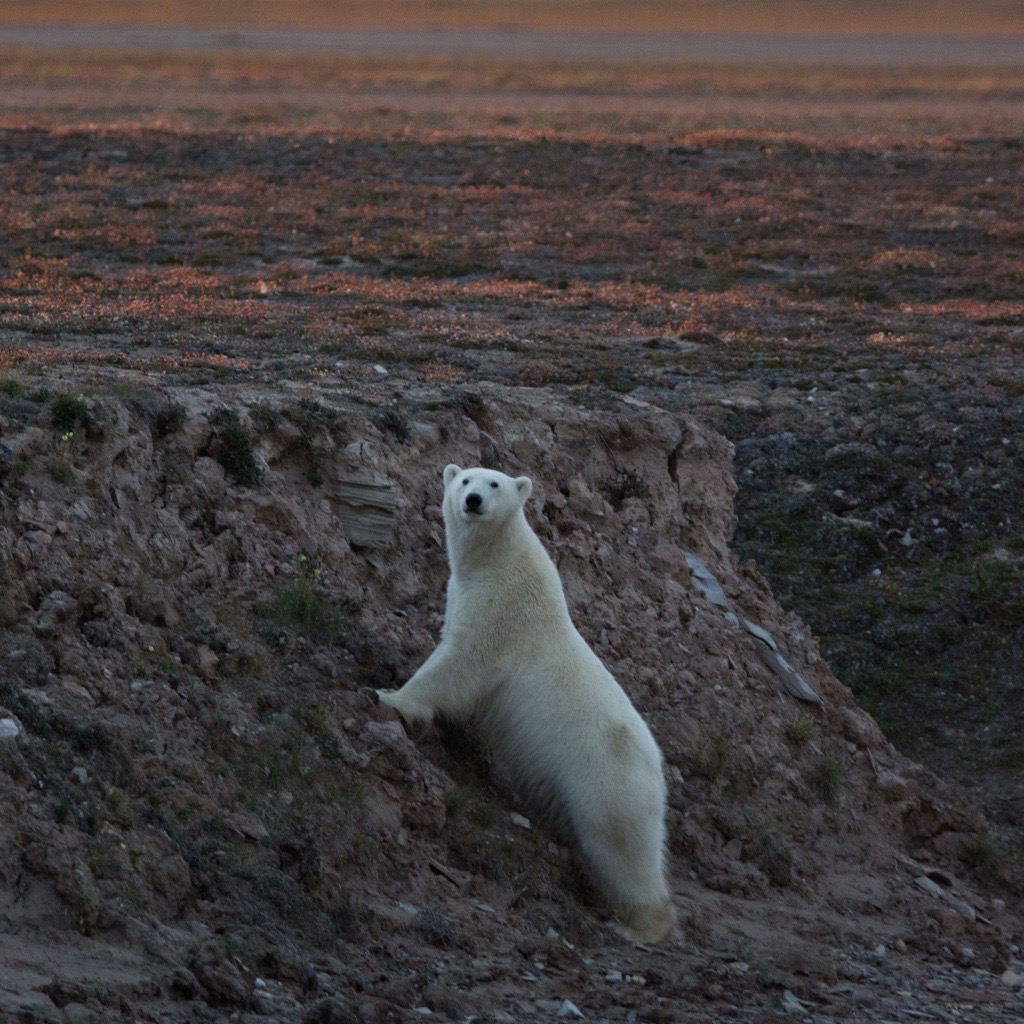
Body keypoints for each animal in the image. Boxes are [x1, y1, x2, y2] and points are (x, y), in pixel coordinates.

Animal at [376, 464, 671, 942]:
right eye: (464, 480)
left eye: (493, 483)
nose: (473, 500)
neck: (499, 561)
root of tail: (657, 768)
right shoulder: (464, 594)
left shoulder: (501, 609)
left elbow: (460, 663)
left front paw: (393, 698)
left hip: (609, 780)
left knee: (622, 846)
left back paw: (641, 926)